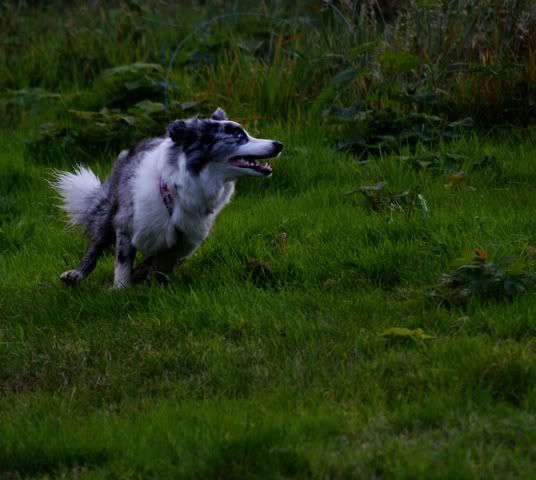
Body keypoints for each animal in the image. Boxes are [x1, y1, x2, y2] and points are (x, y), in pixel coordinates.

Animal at [52, 108, 283, 288]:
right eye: (238, 136)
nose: (279, 144)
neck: (181, 189)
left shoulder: (187, 239)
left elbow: (163, 262)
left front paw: (148, 279)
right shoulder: (127, 223)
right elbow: (123, 261)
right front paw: (120, 289)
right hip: (110, 210)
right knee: (97, 242)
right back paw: (77, 273)